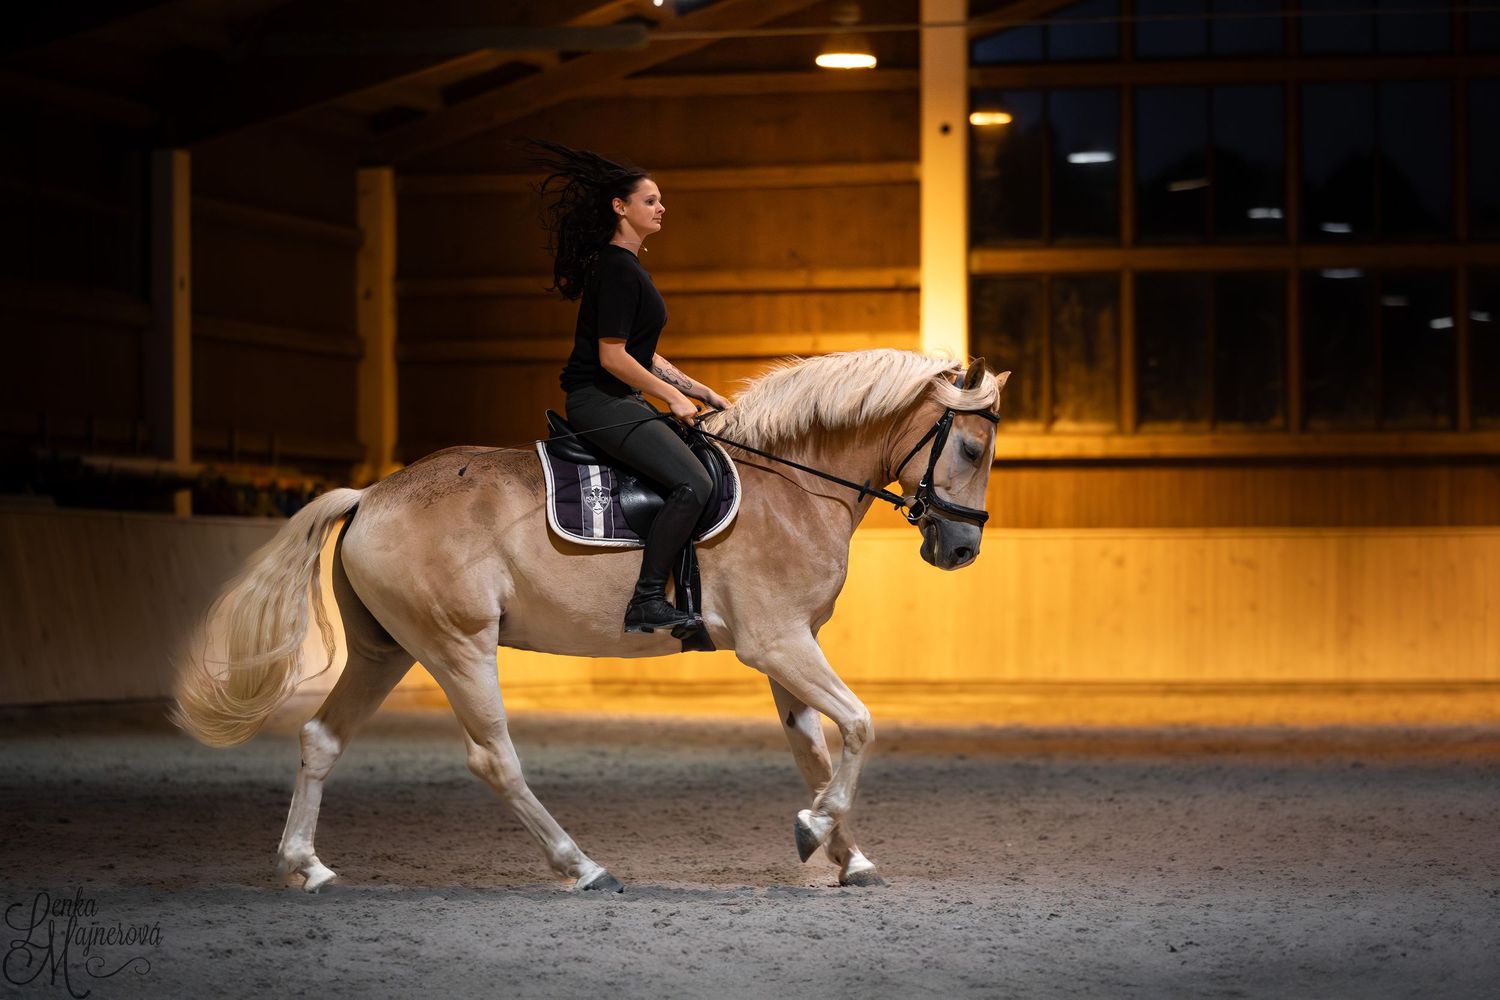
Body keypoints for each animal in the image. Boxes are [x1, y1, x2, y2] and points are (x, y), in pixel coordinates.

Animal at [171, 349, 1008, 893]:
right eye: (970, 447)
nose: (963, 548)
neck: (792, 486)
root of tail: (372, 495)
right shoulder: (777, 643)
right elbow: (861, 725)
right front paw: (818, 831)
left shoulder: (790, 648)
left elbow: (815, 752)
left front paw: (843, 852)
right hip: (457, 646)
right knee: (493, 759)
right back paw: (582, 866)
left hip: (387, 651)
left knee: (321, 737)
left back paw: (305, 866)